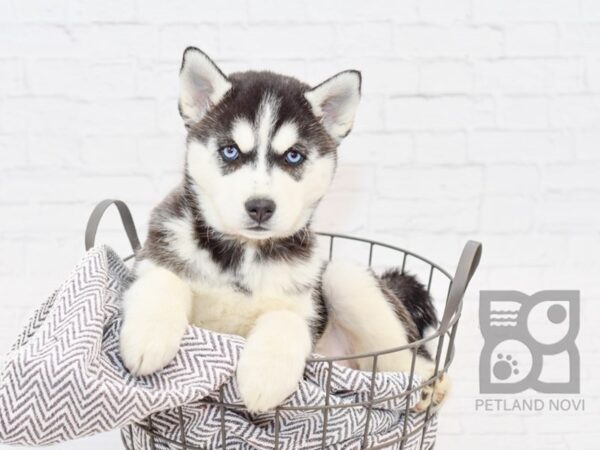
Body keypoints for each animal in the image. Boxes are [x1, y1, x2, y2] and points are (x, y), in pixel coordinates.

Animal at [120, 47, 450, 414]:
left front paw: (264, 376)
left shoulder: (304, 305)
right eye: (230, 151)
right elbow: (163, 278)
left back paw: (429, 387)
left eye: (293, 156)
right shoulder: (154, 255)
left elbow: (286, 319)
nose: (260, 207)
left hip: (346, 280)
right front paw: (148, 337)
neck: (243, 254)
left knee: (412, 358)